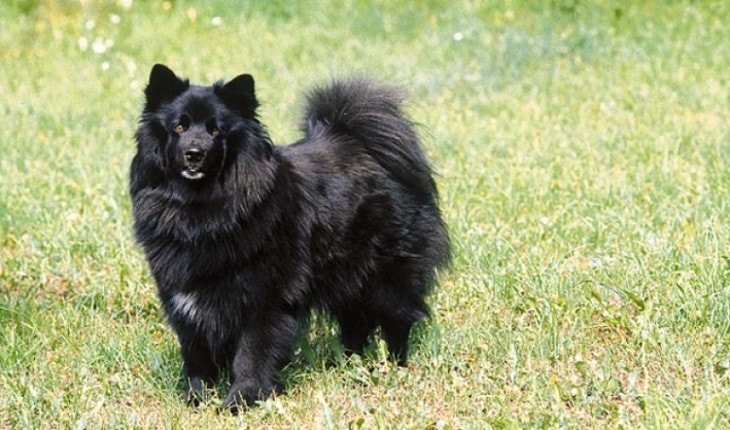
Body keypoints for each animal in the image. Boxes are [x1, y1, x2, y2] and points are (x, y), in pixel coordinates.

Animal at [131, 64, 450, 410]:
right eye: (179, 127)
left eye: (217, 132)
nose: (194, 153)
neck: (203, 210)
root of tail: (361, 143)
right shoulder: (184, 302)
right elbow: (197, 356)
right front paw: (197, 398)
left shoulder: (263, 300)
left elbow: (251, 355)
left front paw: (241, 400)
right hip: (346, 277)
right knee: (356, 322)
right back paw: (349, 362)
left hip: (385, 277)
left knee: (397, 320)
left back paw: (393, 365)